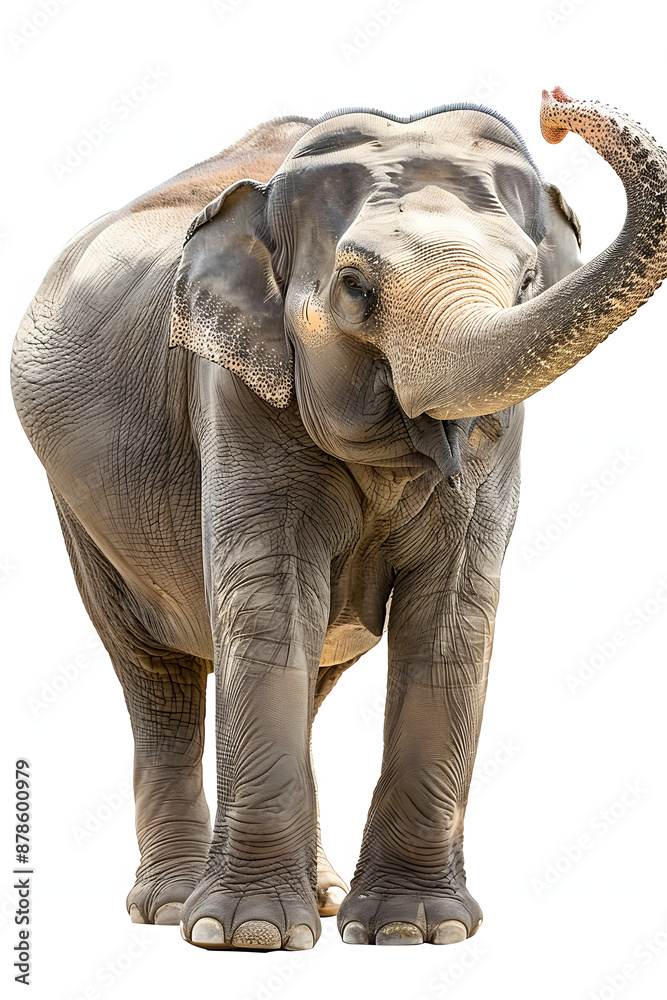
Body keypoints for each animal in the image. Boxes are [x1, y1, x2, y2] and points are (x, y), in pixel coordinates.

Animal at [11, 87, 667, 951]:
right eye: (354, 286)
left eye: (528, 277)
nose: (553, 109)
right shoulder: (234, 389)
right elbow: (269, 600)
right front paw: (247, 936)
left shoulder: (498, 433)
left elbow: (453, 615)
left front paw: (412, 933)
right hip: (80, 512)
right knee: (156, 674)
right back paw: (174, 907)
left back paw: (317, 896)